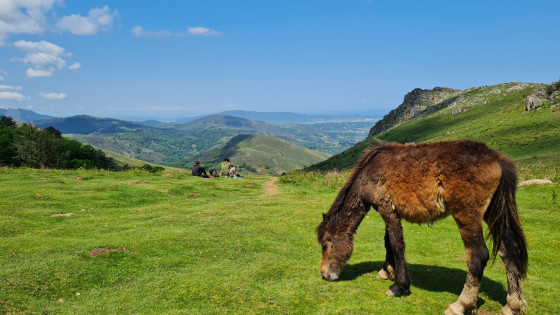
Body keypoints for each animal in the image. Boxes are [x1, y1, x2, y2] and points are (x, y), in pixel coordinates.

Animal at [318, 142, 528, 315]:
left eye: (326, 245)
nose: (324, 274)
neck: (369, 172)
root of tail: (497, 159)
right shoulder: (392, 213)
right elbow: (388, 243)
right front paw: (386, 271)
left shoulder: (387, 210)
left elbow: (396, 245)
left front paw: (399, 287)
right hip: (494, 213)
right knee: (509, 253)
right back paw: (512, 306)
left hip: (467, 215)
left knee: (478, 256)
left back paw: (461, 305)